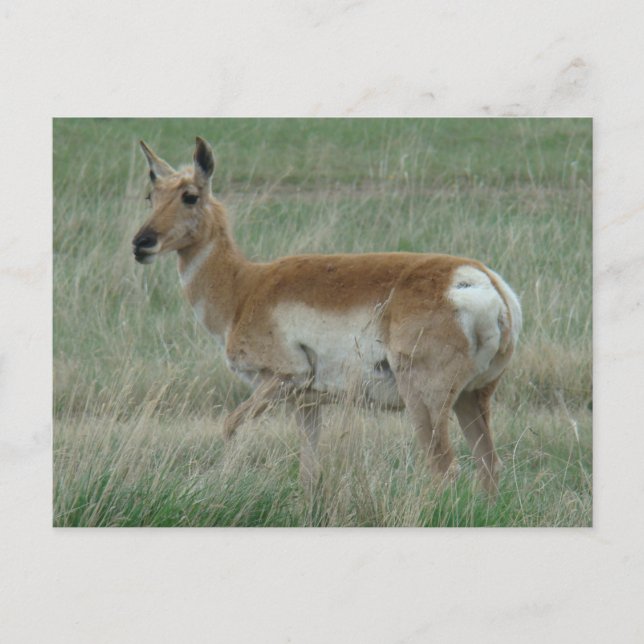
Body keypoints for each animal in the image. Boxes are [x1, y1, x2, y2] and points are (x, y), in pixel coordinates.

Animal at [132, 137, 521, 494]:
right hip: (473, 396)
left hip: (425, 399)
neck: (245, 287)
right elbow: (308, 472)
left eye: (190, 195)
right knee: (488, 465)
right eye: (152, 195)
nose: (141, 243)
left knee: (443, 465)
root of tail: (484, 283)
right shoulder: (306, 403)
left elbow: (229, 425)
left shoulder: (282, 379)